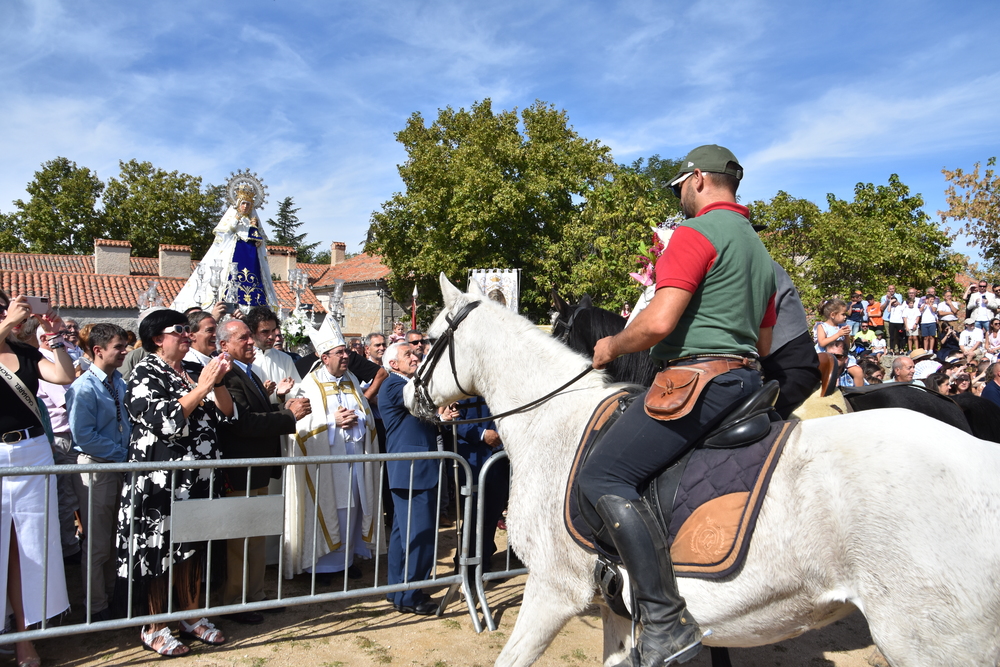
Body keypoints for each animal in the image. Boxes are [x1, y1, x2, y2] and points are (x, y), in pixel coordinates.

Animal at [404, 274, 1000, 664]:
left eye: (428, 338)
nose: (409, 393)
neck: (555, 423)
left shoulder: (553, 591)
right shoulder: (617, 611)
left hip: (930, 643)